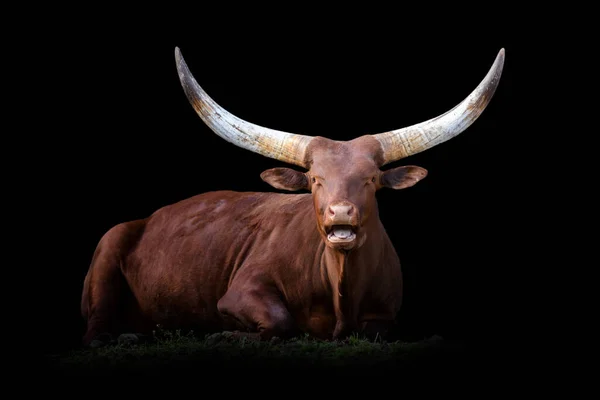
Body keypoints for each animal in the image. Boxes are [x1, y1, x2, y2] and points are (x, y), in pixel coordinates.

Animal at [78, 46, 502, 346]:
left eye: (370, 179)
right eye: (314, 179)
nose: (340, 213)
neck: (341, 290)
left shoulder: (385, 315)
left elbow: (376, 330)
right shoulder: (239, 293)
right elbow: (281, 323)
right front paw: (225, 333)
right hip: (107, 249)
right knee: (94, 331)